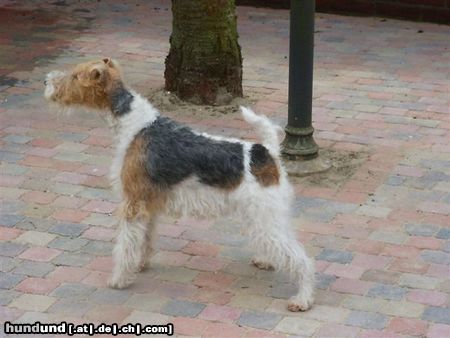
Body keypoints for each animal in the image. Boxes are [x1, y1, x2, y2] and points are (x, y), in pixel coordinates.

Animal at [44, 58, 314, 312]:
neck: (132, 123)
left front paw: (119, 279)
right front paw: (140, 265)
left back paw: (302, 299)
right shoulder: (148, 203)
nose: (46, 81)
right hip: (265, 214)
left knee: (303, 259)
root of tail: (267, 151)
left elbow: (125, 245)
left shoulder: (133, 203)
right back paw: (266, 261)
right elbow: (144, 239)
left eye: (75, 76)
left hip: (265, 215)